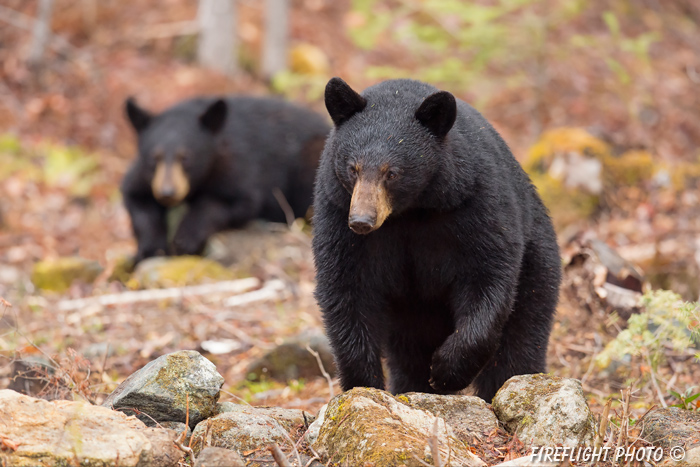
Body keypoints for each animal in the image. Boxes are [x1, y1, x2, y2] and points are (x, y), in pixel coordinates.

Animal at [121, 96, 330, 264]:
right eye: (153, 157)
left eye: (186, 157)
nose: (167, 193)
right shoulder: (145, 176)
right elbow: (136, 197)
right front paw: (151, 247)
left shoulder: (237, 165)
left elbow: (233, 201)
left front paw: (185, 239)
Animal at [312, 78, 564, 400]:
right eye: (352, 168)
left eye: (392, 173)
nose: (362, 221)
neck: (411, 212)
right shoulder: (337, 212)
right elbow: (345, 289)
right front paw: (363, 384)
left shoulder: (474, 202)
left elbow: (488, 274)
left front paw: (445, 371)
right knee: (408, 354)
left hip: (538, 265)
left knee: (520, 343)